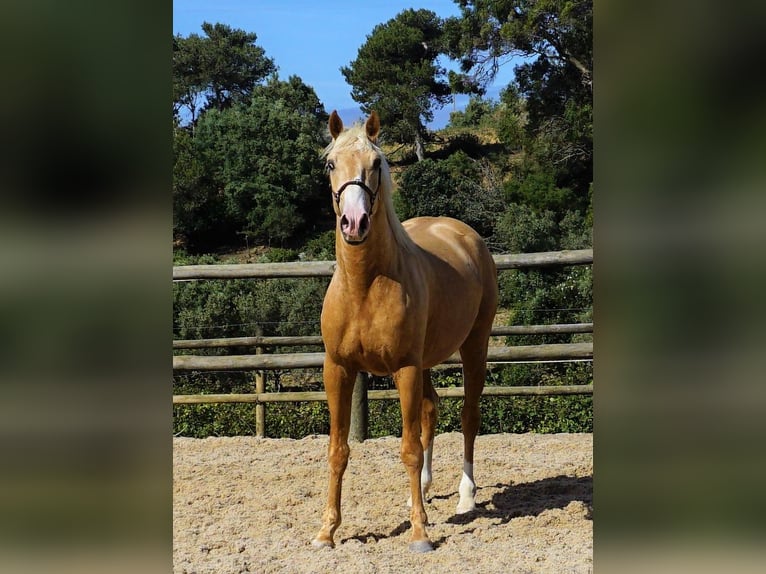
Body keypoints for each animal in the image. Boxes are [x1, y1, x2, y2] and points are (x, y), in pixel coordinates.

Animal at [312, 110, 498, 556]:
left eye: (376, 164)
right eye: (330, 164)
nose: (354, 223)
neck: (365, 285)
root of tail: (464, 234)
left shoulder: (405, 369)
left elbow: (409, 448)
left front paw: (418, 535)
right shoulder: (338, 369)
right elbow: (337, 450)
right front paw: (328, 532)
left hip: (474, 346)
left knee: (468, 416)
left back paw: (466, 497)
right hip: (427, 360)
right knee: (431, 411)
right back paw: (427, 493)